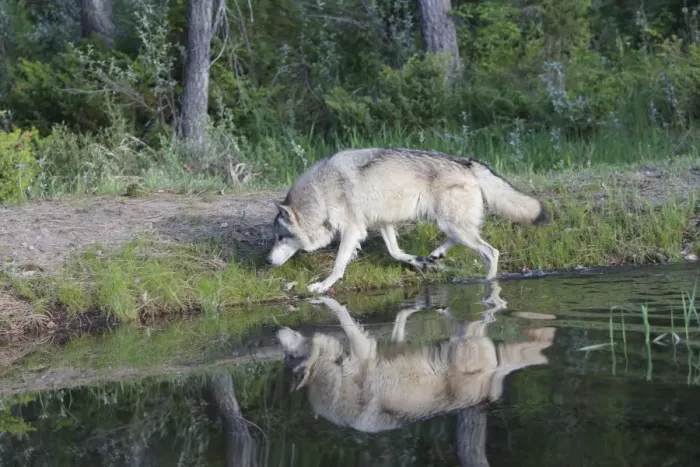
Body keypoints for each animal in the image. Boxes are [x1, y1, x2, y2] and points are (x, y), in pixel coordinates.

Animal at [266, 148, 548, 294]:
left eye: (280, 237)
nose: (267, 261)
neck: (320, 194)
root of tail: (466, 162)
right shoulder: (383, 223)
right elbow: (396, 252)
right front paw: (419, 262)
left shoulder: (353, 230)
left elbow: (338, 265)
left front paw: (322, 286)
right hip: (450, 224)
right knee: (457, 240)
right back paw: (434, 256)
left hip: (452, 224)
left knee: (491, 252)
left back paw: (488, 283)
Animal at [275, 290, 555, 434]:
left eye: (289, 356)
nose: (276, 334)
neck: (329, 375)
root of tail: (488, 391)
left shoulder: (362, 350)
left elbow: (344, 319)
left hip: (463, 340)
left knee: (487, 318)